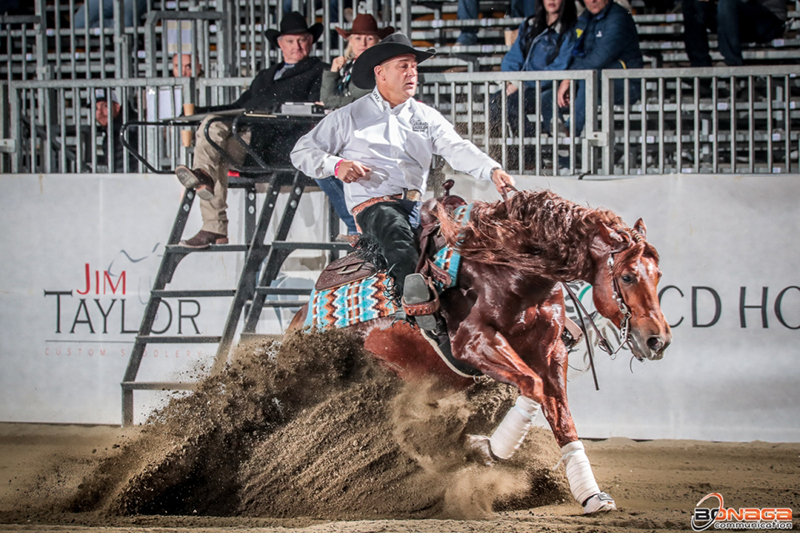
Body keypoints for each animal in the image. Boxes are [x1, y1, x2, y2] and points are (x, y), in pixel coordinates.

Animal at [290, 189, 668, 512]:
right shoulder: (473, 344)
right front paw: (487, 448)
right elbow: (532, 387)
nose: (658, 340)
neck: (510, 270)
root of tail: (300, 321)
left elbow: (560, 414)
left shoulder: (550, 353)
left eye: (658, 275)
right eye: (628, 276)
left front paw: (591, 495)